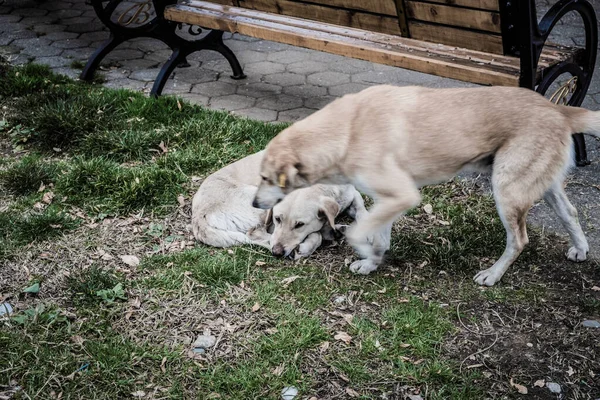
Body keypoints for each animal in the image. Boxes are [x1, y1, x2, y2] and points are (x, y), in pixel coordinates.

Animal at [192, 151, 370, 260]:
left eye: (299, 224)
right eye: (277, 219)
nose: (277, 253)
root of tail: (198, 216)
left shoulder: (352, 193)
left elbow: (361, 209)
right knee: (257, 234)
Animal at [253, 85, 600, 284]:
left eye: (266, 178)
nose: (255, 204)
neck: (348, 131)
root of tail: (556, 107)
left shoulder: (401, 196)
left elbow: (357, 232)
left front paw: (364, 251)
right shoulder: (388, 200)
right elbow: (380, 236)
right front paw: (372, 263)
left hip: (507, 192)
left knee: (519, 240)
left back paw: (492, 275)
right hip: (540, 185)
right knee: (570, 213)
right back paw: (581, 250)